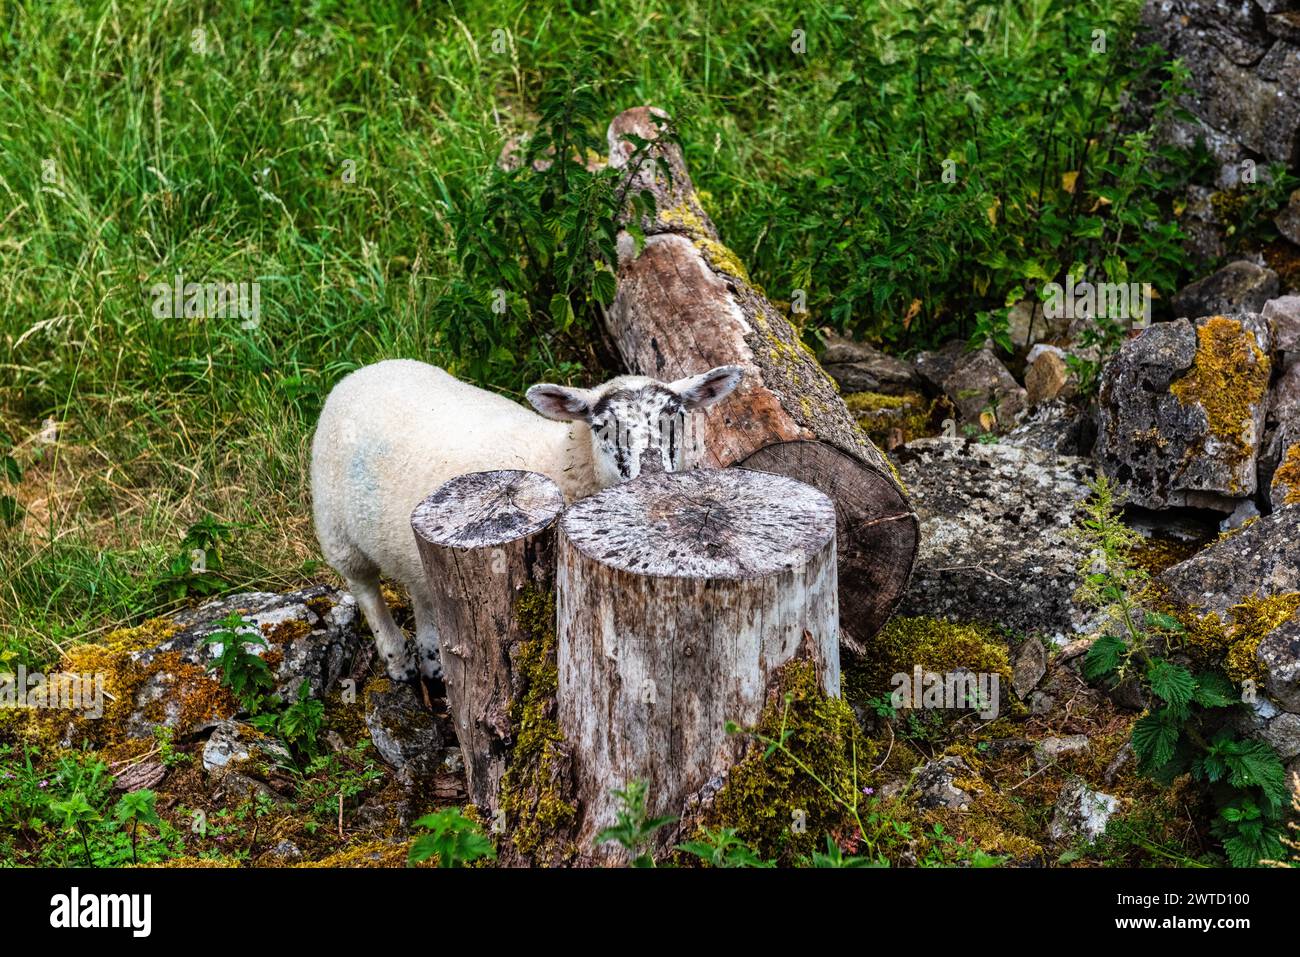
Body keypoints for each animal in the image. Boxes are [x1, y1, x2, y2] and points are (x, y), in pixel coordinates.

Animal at [306, 358, 743, 681]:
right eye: (602, 427)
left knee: (421, 589)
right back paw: (398, 659)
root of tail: (369, 368)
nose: (651, 476)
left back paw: (432, 657)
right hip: (336, 527)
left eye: (677, 419)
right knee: (364, 586)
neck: (559, 460)